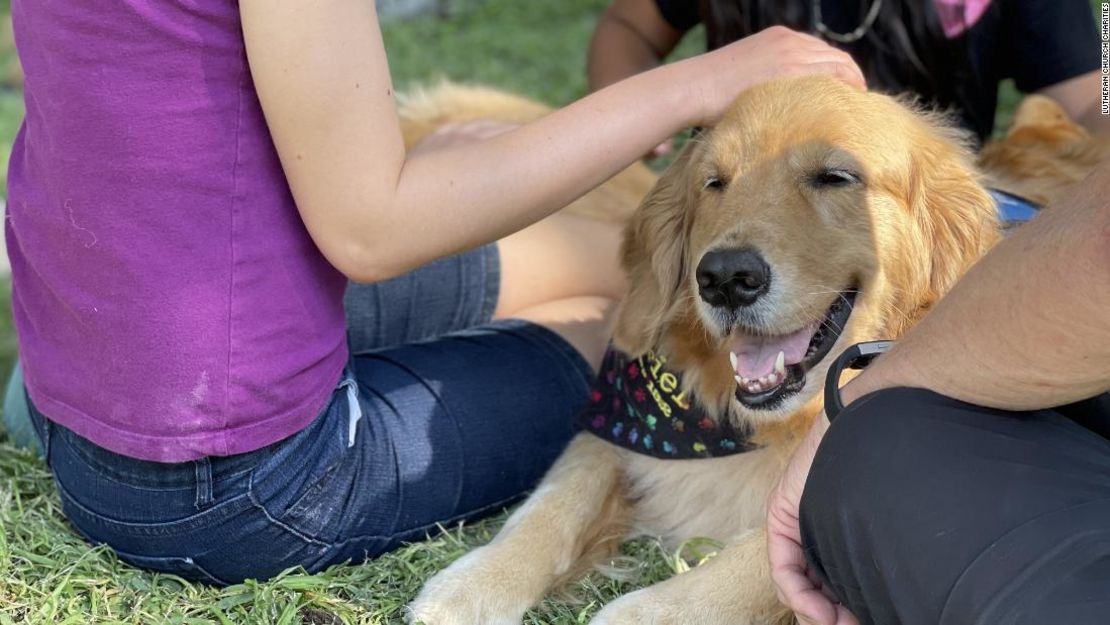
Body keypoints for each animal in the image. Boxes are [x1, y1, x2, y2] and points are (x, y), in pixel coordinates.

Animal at [410, 76, 1007, 625]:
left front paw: (637, 616)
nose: (724, 278)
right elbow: (553, 500)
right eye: (715, 183)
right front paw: (473, 583)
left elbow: (757, 558)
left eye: (836, 177)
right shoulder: (612, 418)